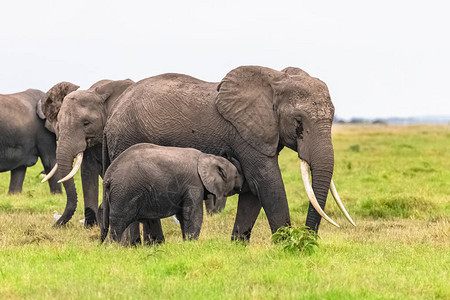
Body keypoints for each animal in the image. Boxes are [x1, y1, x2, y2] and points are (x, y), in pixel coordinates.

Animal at [100, 143, 244, 244]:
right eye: (237, 174)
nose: (243, 184)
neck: (208, 157)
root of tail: (109, 174)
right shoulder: (194, 184)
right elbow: (193, 215)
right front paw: (192, 245)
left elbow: (182, 216)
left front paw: (187, 243)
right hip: (124, 193)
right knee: (118, 224)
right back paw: (113, 247)